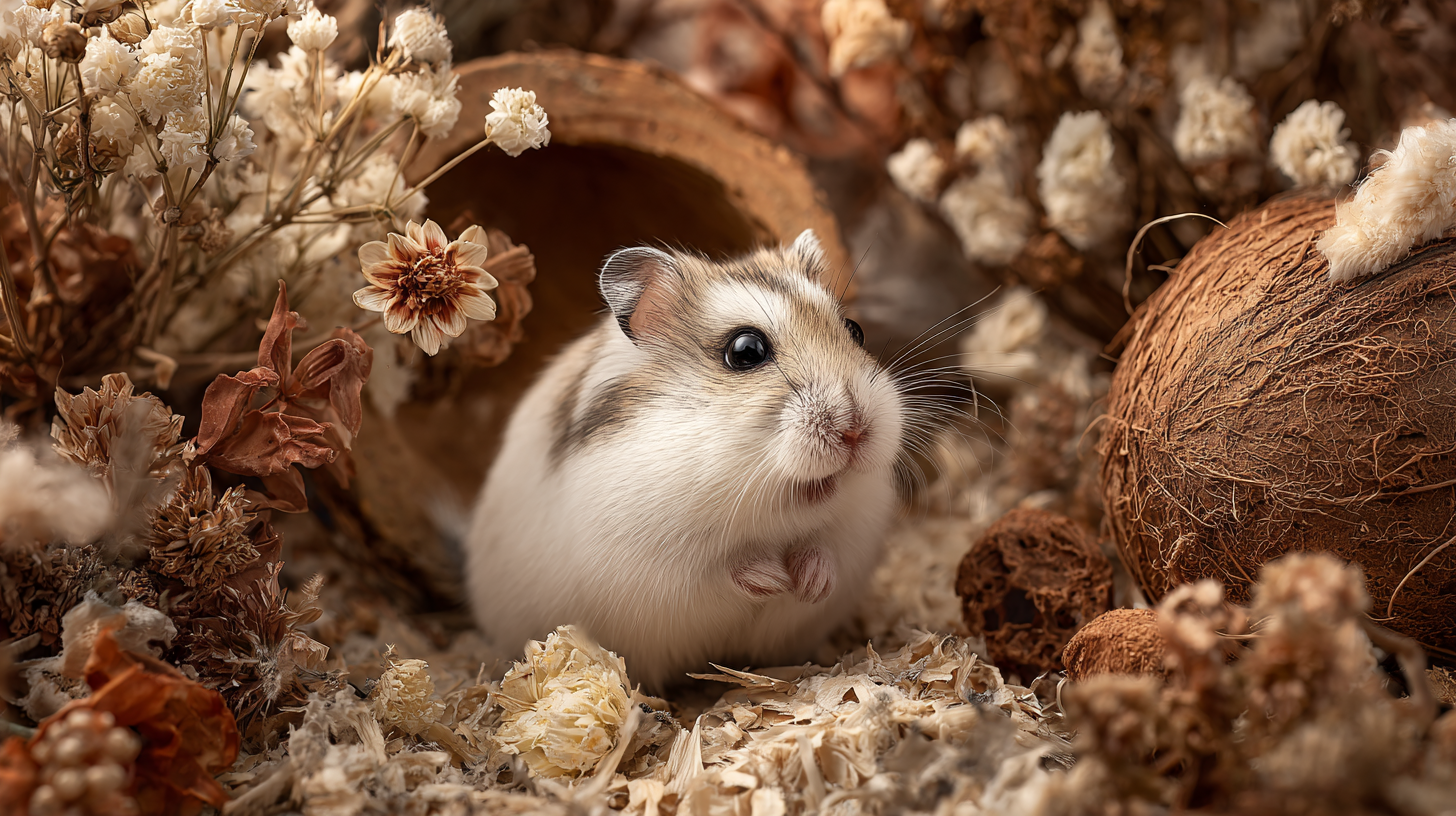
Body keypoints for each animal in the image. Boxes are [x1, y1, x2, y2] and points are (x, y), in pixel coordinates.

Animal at [464, 230, 905, 688]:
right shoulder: (658, 570)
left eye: (855, 330)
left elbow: (826, 550)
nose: (855, 431)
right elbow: (723, 572)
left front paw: (810, 583)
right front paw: (773, 578)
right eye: (746, 351)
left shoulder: (854, 533)